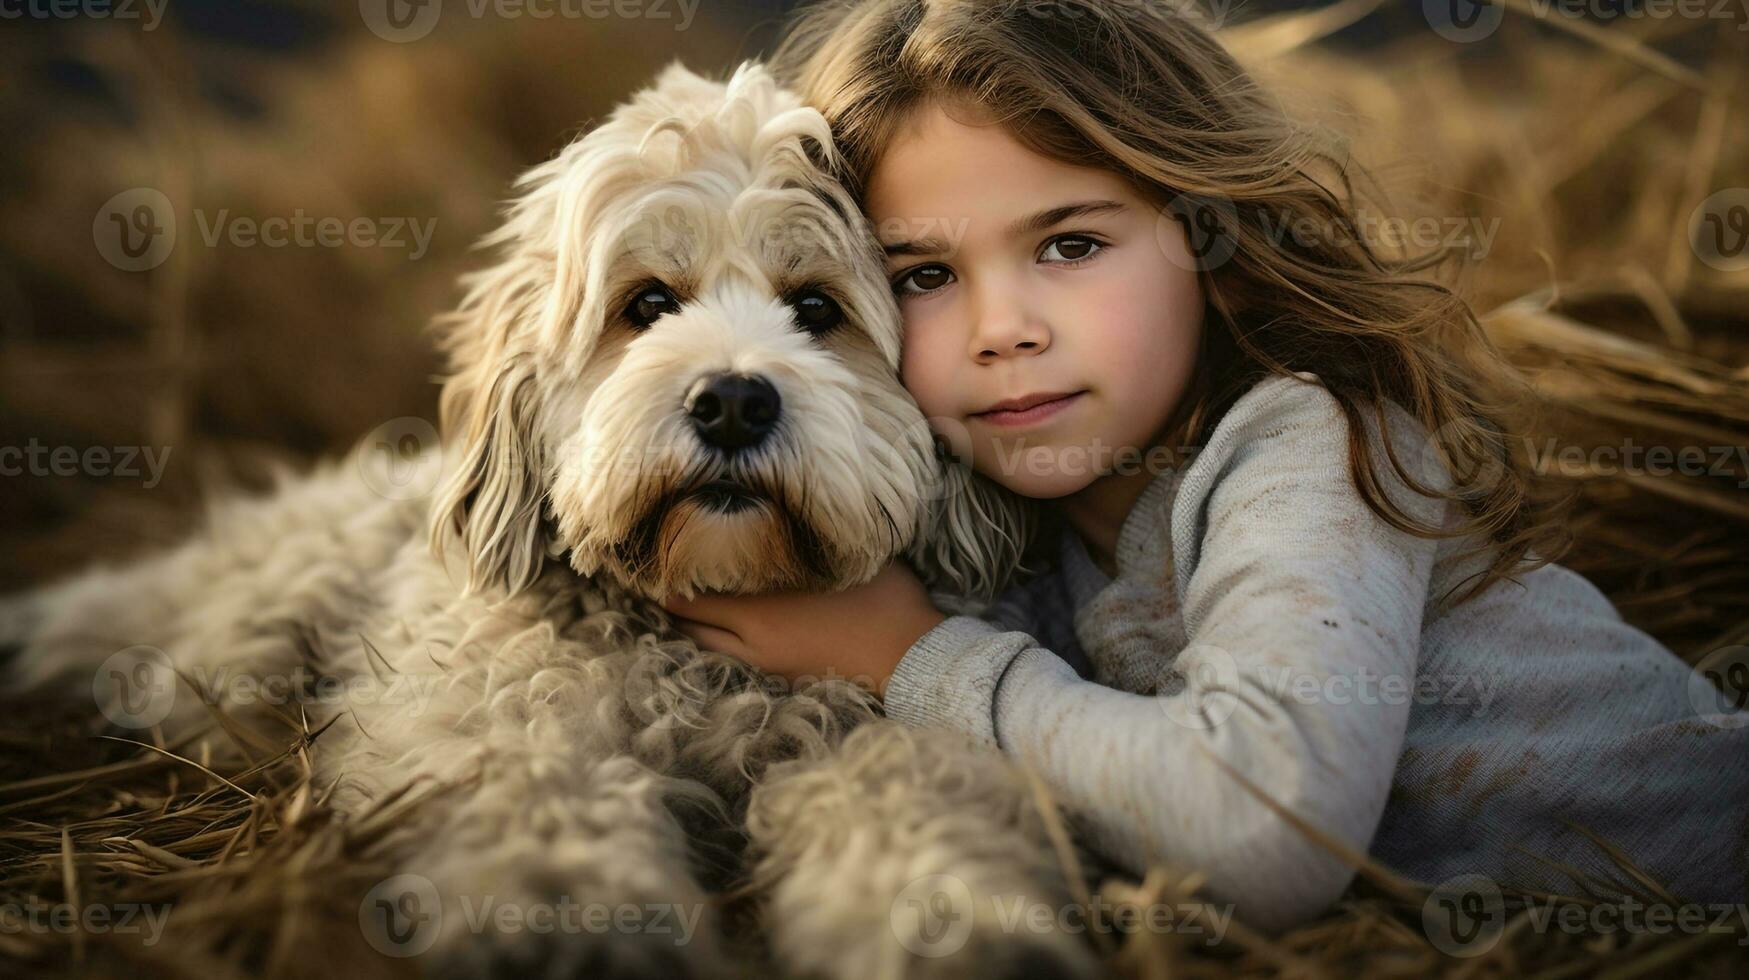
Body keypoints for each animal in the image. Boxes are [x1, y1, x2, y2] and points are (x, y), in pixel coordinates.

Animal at [0, 63, 1091, 980]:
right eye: (646, 303)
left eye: (816, 309)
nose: (733, 402)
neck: (702, 626)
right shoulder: (498, 718)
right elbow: (538, 794)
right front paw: (568, 918)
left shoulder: (893, 722)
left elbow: (907, 791)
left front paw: (953, 924)